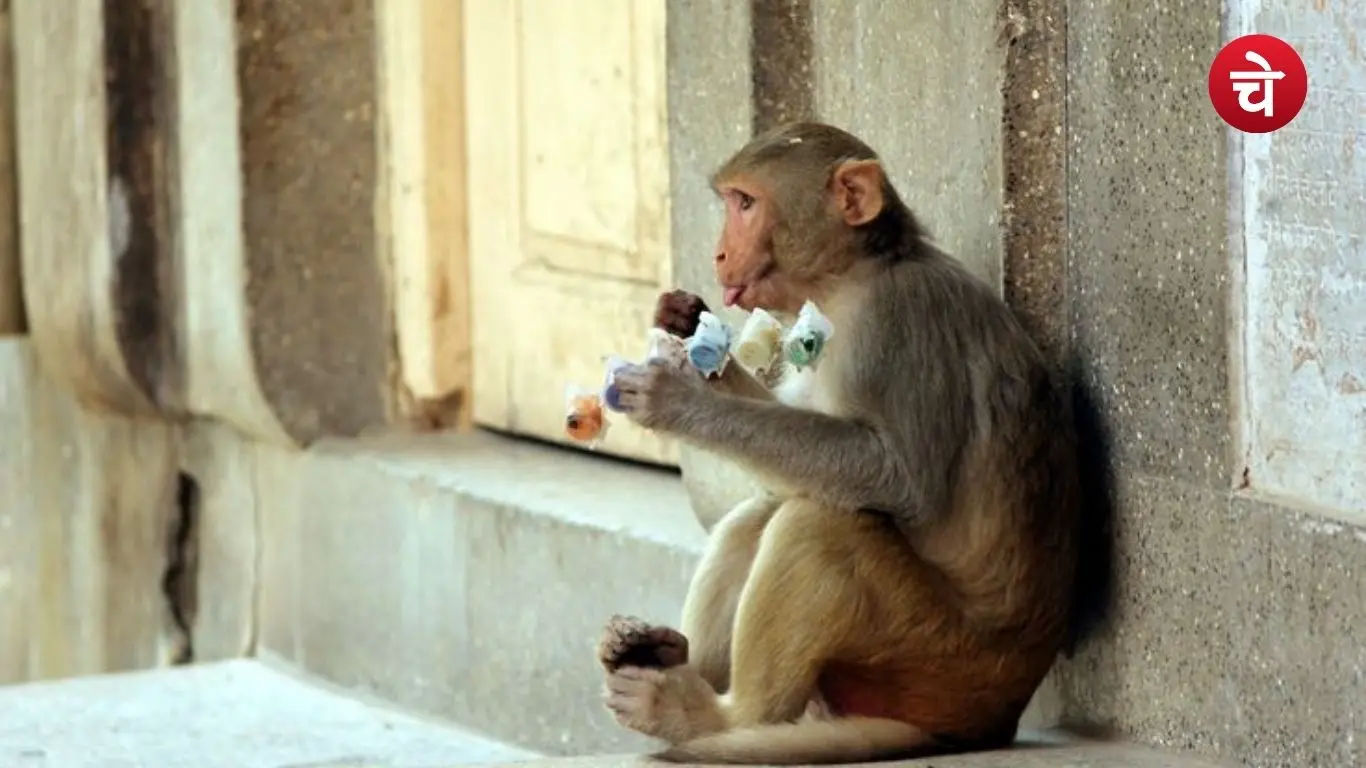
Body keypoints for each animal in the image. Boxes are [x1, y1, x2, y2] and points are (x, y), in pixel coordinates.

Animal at [596, 121, 1081, 765]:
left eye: (745, 203)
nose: (720, 253)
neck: (856, 277)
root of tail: (987, 721)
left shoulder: (893, 324)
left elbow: (894, 476)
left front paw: (679, 401)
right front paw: (684, 325)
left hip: (933, 655)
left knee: (816, 527)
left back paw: (711, 715)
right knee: (767, 510)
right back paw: (670, 657)